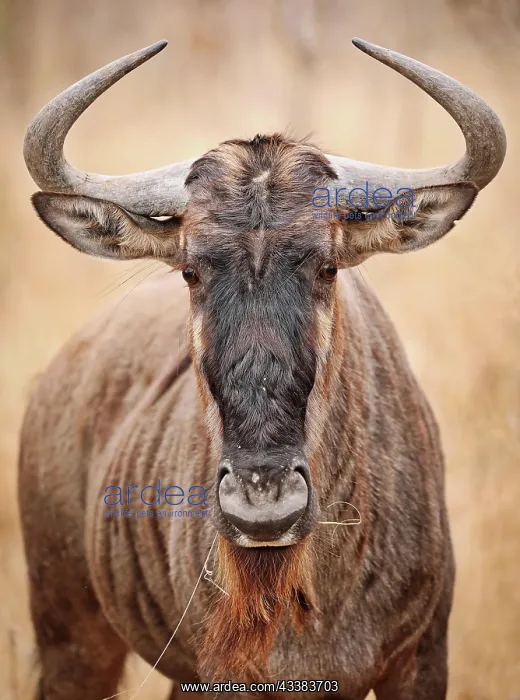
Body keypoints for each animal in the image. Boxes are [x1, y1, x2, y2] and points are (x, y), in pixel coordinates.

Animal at [19, 38, 506, 700]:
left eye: (328, 266)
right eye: (191, 270)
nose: (264, 507)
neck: (312, 594)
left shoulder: (423, 660)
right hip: (71, 637)